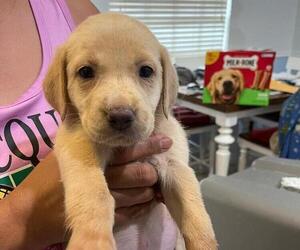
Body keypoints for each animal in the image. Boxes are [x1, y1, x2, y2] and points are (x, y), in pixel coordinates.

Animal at [43, 12, 217, 249]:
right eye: (86, 72)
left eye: (146, 71)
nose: (120, 116)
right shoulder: (77, 147)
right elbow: (95, 193)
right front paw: (92, 240)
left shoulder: (175, 165)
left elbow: (195, 211)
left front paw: (205, 243)